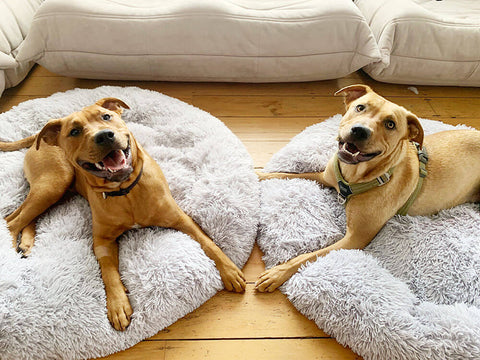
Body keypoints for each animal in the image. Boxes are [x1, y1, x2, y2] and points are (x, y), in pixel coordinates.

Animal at [1, 97, 246, 330]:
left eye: (106, 116)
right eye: (74, 131)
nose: (104, 136)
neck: (125, 192)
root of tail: (38, 137)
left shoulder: (181, 219)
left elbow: (208, 243)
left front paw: (230, 271)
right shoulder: (102, 241)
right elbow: (109, 273)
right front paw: (118, 305)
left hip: (57, 189)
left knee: (24, 214)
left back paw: (26, 243)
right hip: (54, 182)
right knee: (12, 220)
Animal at [255, 84, 480, 292]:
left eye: (390, 124)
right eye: (360, 107)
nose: (360, 130)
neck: (355, 176)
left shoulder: (354, 239)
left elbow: (306, 257)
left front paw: (278, 273)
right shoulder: (324, 177)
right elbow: (286, 174)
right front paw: (258, 175)